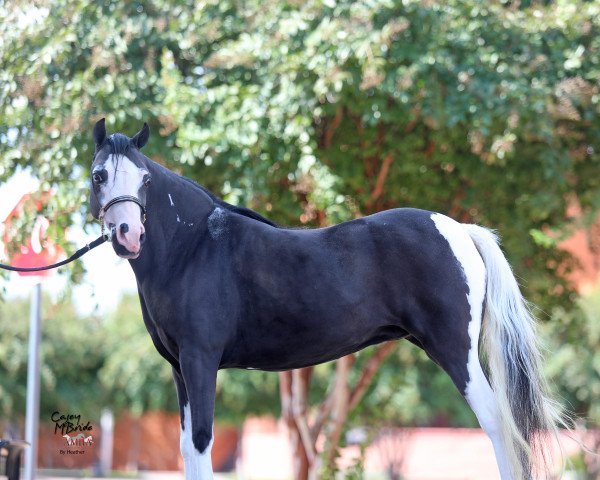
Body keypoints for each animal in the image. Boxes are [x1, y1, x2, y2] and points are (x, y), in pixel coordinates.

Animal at [90, 120, 564, 480]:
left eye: (146, 180)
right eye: (99, 175)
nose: (128, 235)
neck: (194, 246)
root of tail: (460, 229)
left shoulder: (201, 359)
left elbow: (203, 442)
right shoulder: (179, 369)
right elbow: (188, 447)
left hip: (455, 351)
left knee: (499, 424)